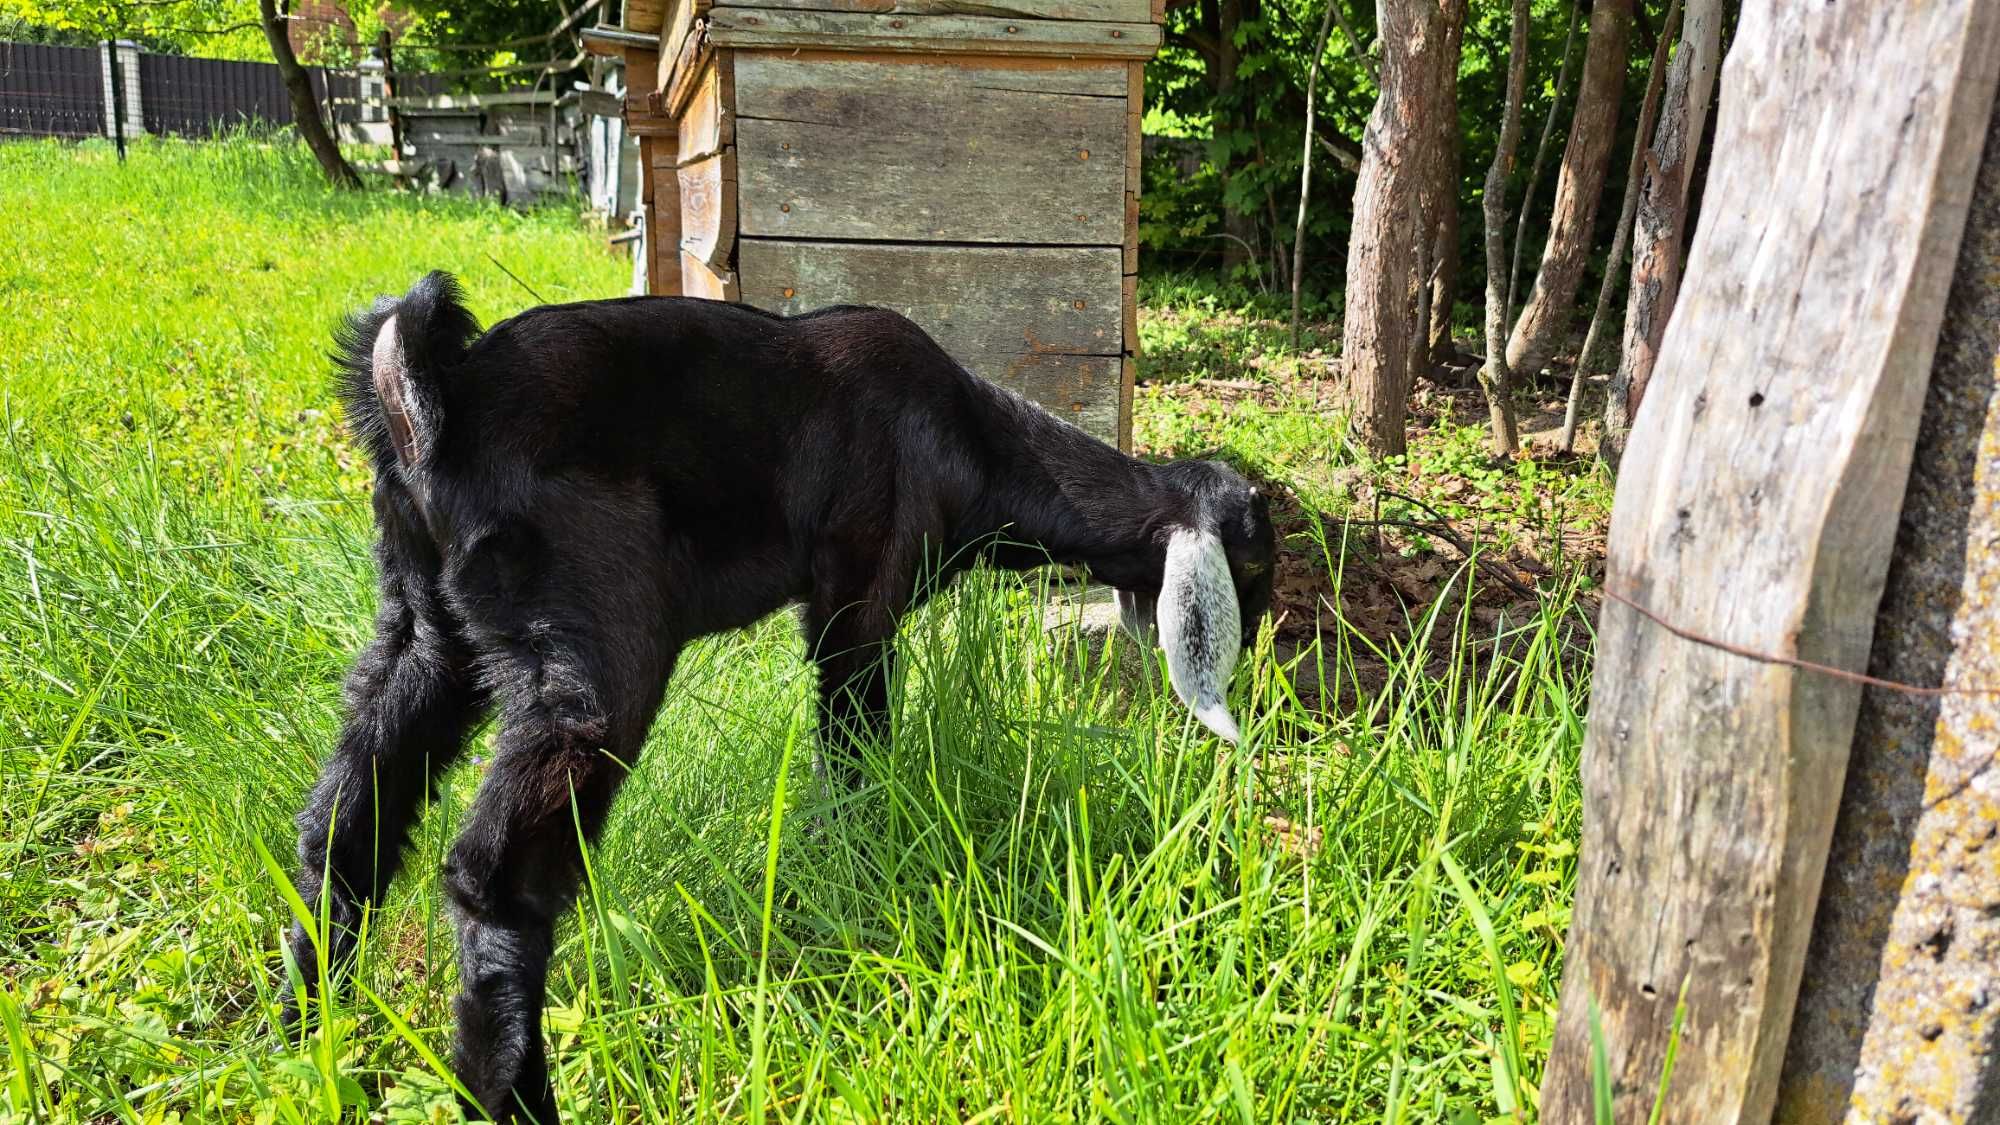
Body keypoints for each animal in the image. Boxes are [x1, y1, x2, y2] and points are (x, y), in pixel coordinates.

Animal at [288, 270, 1272, 1112]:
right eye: (1255, 558)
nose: (1261, 668)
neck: (975, 442)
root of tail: (430, 402)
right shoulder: (858, 601)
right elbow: (856, 745)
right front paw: (866, 864)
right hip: (589, 640)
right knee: (493, 877)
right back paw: (512, 1094)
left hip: (428, 634)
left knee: (345, 824)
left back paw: (311, 1032)